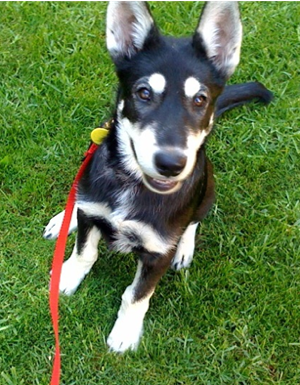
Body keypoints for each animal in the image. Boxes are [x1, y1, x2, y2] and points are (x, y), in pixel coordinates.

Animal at [44, 1, 272, 352]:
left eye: (200, 99)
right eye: (143, 93)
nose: (170, 163)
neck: (133, 184)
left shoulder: (157, 254)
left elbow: (137, 295)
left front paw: (125, 332)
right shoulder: (93, 212)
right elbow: (85, 251)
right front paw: (67, 276)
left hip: (209, 187)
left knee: (194, 221)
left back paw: (185, 248)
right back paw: (62, 219)